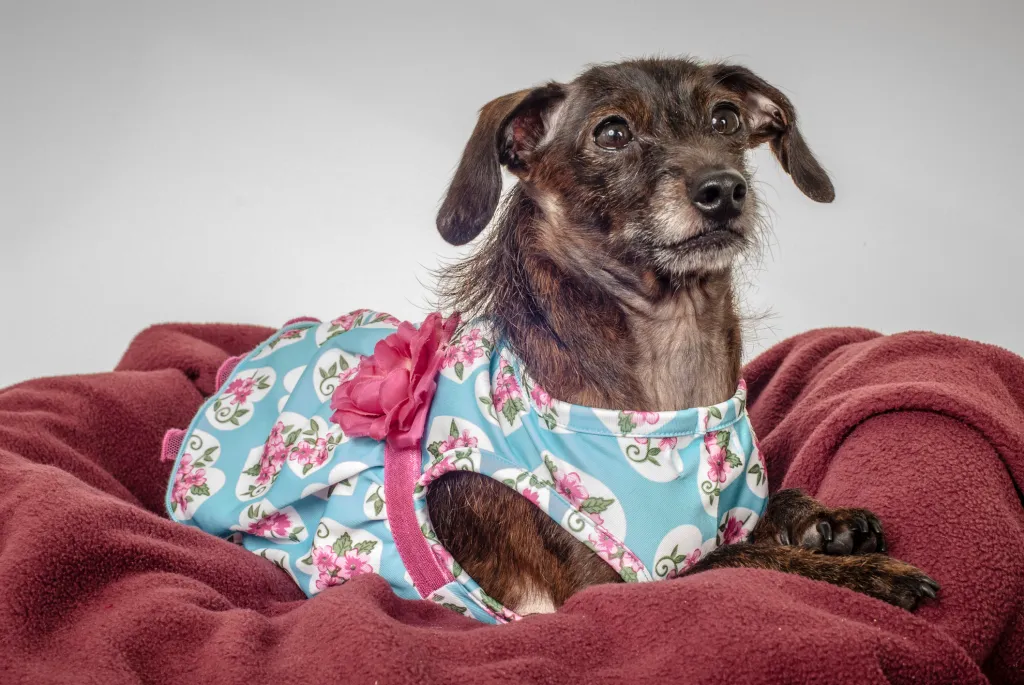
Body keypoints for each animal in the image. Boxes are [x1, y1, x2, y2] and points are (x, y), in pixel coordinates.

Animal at [423, 57, 937, 614]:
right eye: (612, 133)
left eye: (725, 119)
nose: (724, 190)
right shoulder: (610, 588)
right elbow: (737, 559)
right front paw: (872, 574)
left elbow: (758, 521)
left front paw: (823, 520)